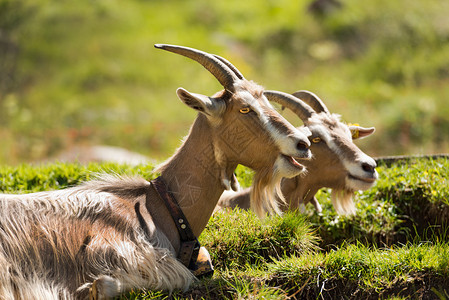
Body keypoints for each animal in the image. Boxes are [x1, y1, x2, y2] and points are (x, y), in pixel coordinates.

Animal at [0, 45, 312, 300]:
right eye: (245, 109)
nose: (303, 143)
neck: (158, 205)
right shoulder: (117, 250)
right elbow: (174, 278)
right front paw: (92, 288)